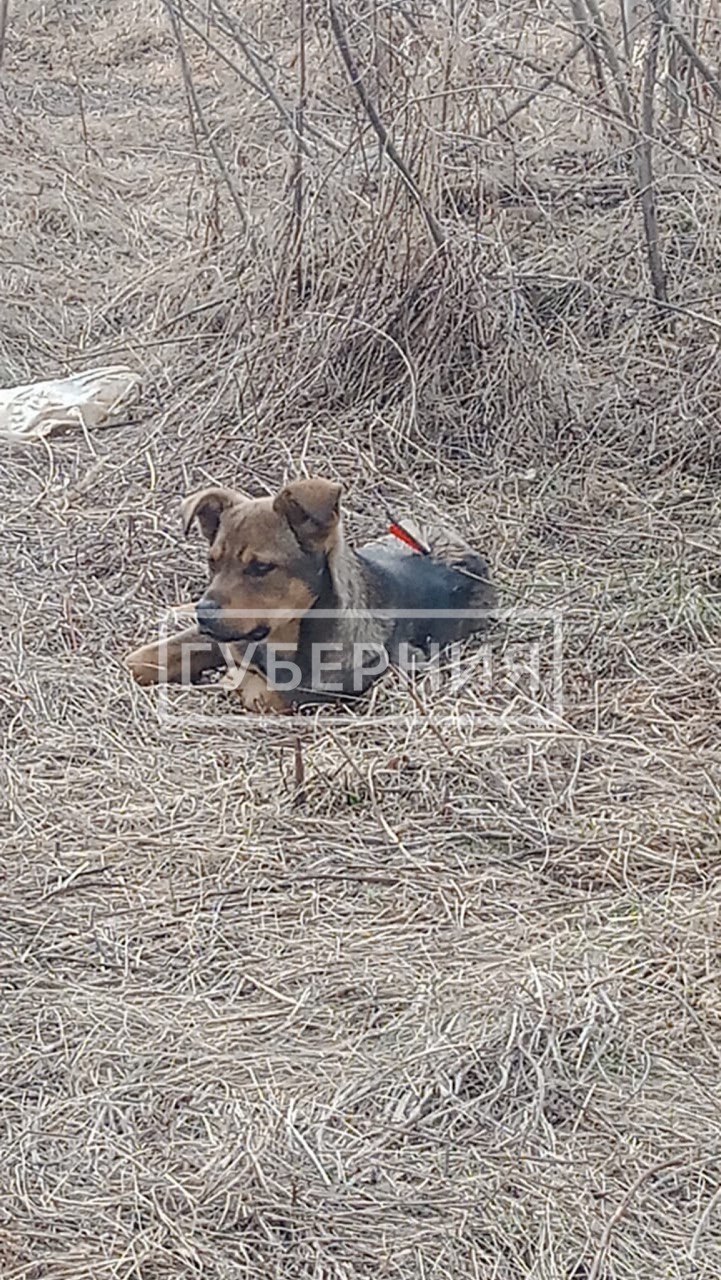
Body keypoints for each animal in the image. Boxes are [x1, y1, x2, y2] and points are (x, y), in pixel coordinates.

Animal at [124, 481, 496, 716]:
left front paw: (237, 681)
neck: (284, 635)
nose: (204, 613)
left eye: (261, 567)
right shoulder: (227, 634)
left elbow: (267, 693)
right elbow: (155, 654)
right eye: (211, 562)